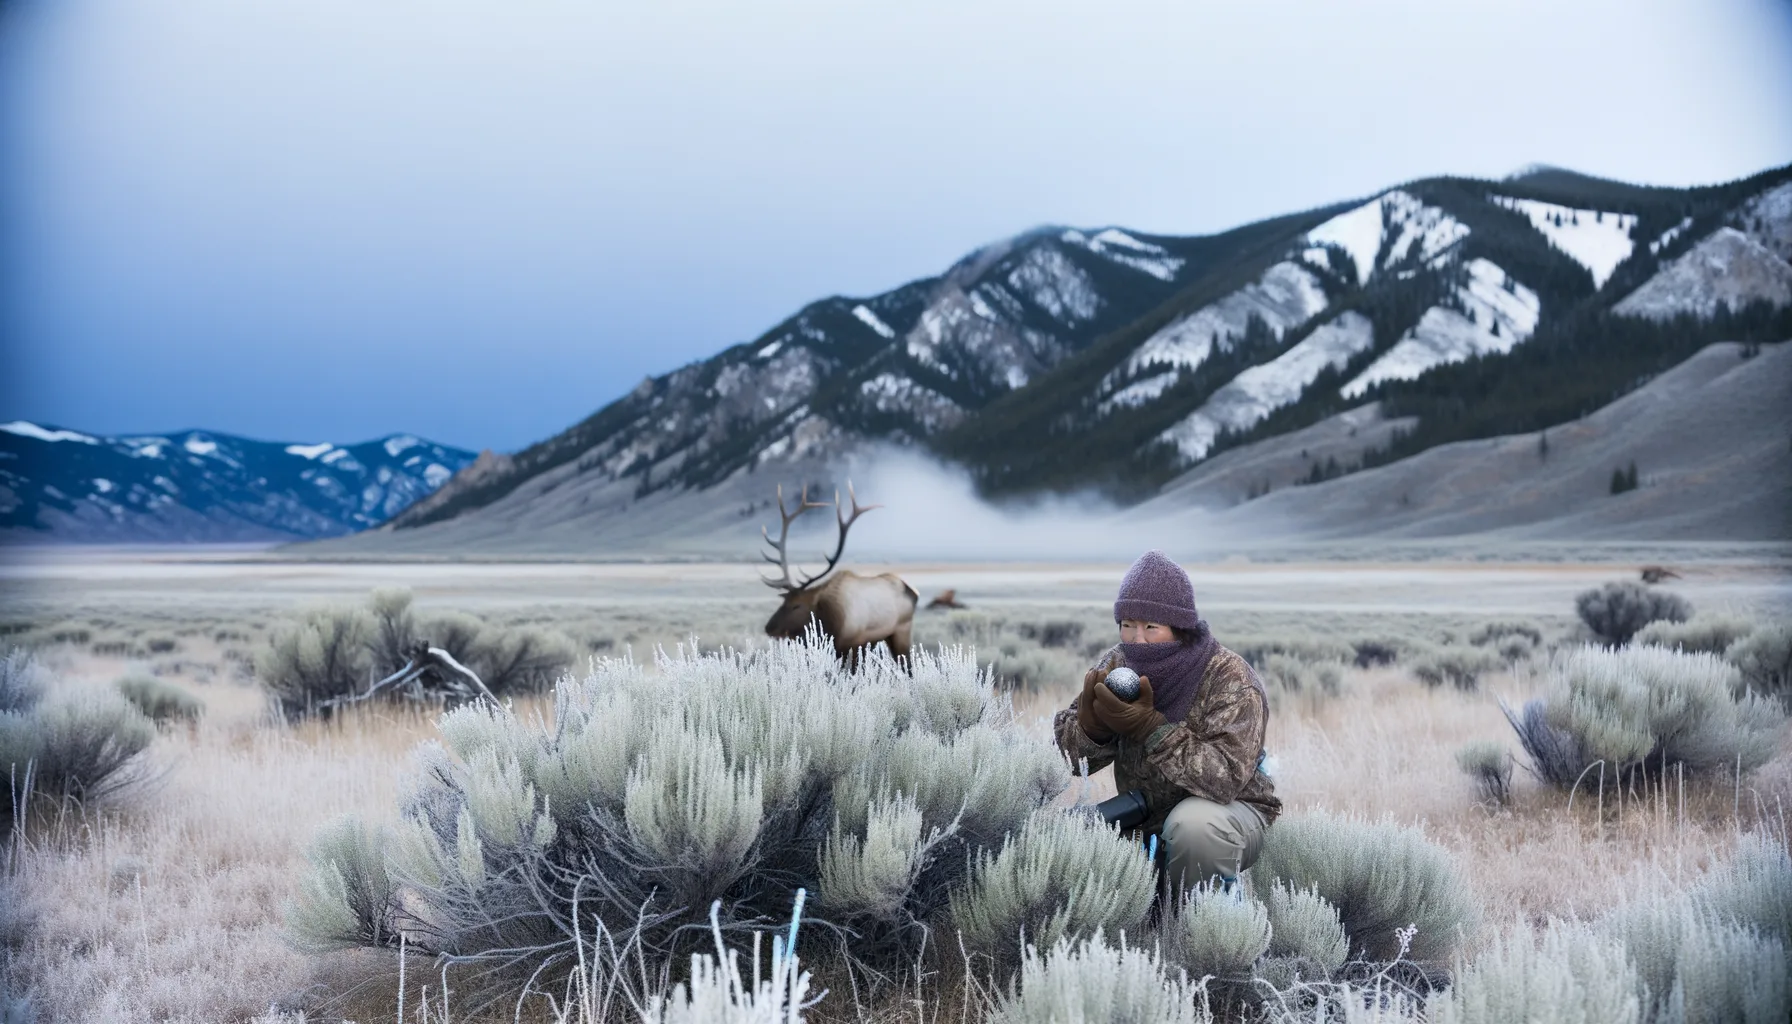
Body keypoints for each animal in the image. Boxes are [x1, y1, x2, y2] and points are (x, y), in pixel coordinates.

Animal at [761, 483, 918, 665]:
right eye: (783, 600)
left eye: (796, 605)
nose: (769, 627)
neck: (831, 622)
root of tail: (914, 592)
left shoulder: (854, 643)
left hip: (902, 630)